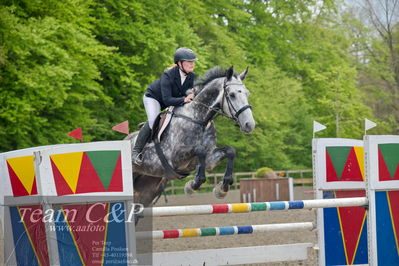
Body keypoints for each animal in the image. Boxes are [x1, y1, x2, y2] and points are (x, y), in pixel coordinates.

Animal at [128, 65, 256, 207]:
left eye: (247, 93)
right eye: (232, 95)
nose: (249, 124)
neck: (199, 119)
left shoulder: (210, 158)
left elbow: (230, 151)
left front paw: (222, 189)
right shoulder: (174, 158)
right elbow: (200, 150)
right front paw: (193, 185)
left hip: (148, 187)